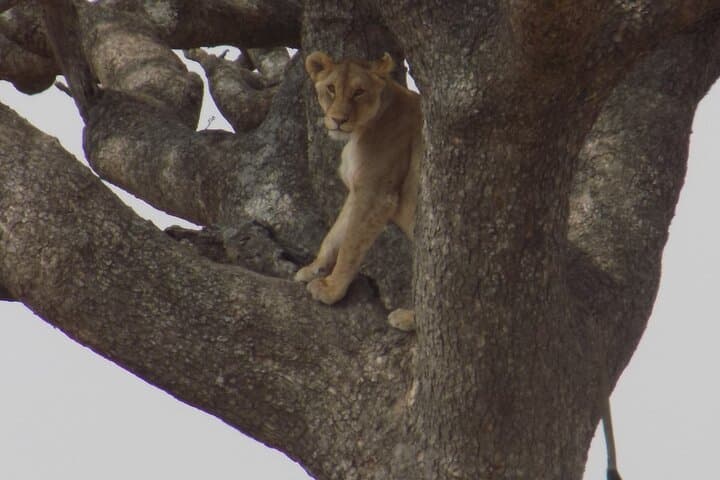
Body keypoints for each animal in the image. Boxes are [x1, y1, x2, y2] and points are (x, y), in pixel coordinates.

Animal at [294, 51, 422, 331]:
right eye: (331, 88)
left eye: (359, 92)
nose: (338, 120)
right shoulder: (357, 191)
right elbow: (335, 234)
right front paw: (314, 269)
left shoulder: (375, 194)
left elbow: (351, 245)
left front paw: (331, 291)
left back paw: (409, 318)